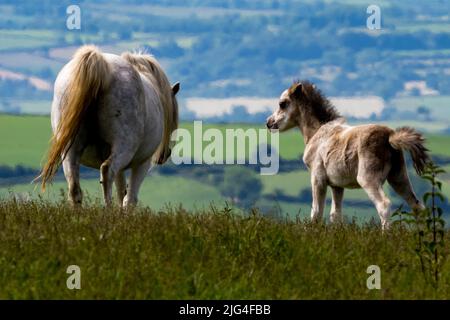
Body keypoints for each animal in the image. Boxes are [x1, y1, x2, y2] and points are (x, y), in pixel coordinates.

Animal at [38, 46, 179, 209]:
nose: (165, 155)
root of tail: (102, 65)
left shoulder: (122, 170)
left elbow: (121, 193)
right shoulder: (142, 163)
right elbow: (129, 199)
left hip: (70, 150)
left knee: (74, 186)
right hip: (124, 146)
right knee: (106, 171)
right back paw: (108, 210)